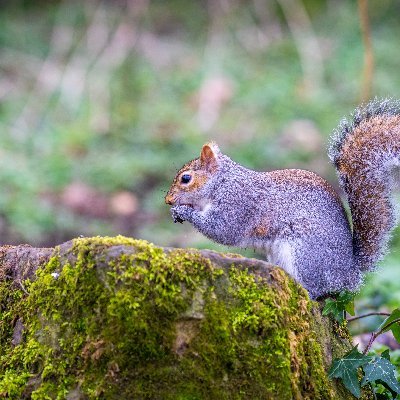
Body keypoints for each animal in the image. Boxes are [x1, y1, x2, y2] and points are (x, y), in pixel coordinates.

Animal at [164, 99, 400, 300]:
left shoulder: (237, 205)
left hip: (304, 255)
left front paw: (184, 211)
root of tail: (349, 272)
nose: (168, 200)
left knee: (317, 291)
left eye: (186, 178)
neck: (222, 183)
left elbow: (221, 230)